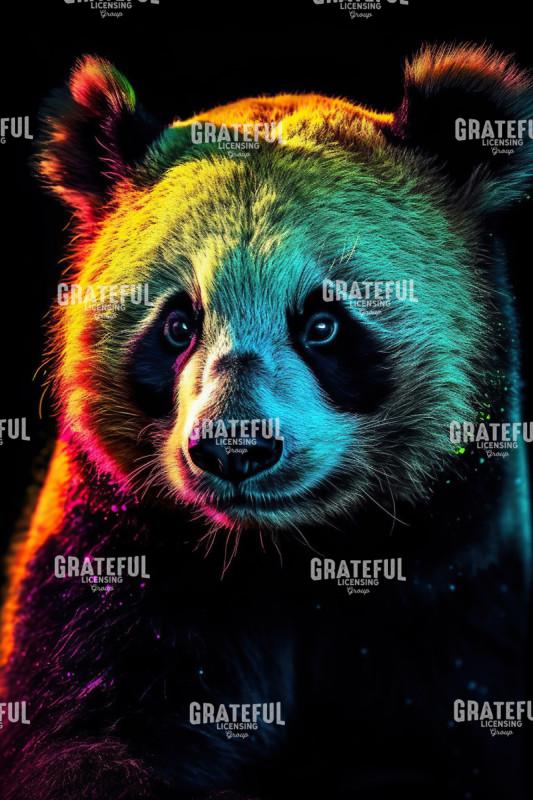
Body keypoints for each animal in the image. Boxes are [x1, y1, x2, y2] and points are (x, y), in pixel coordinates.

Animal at [0, 44, 531, 800]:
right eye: (177, 324)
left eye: (323, 324)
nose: (235, 449)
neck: (276, 553)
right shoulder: (112, 561)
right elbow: (84, 733)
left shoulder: (452, 589)